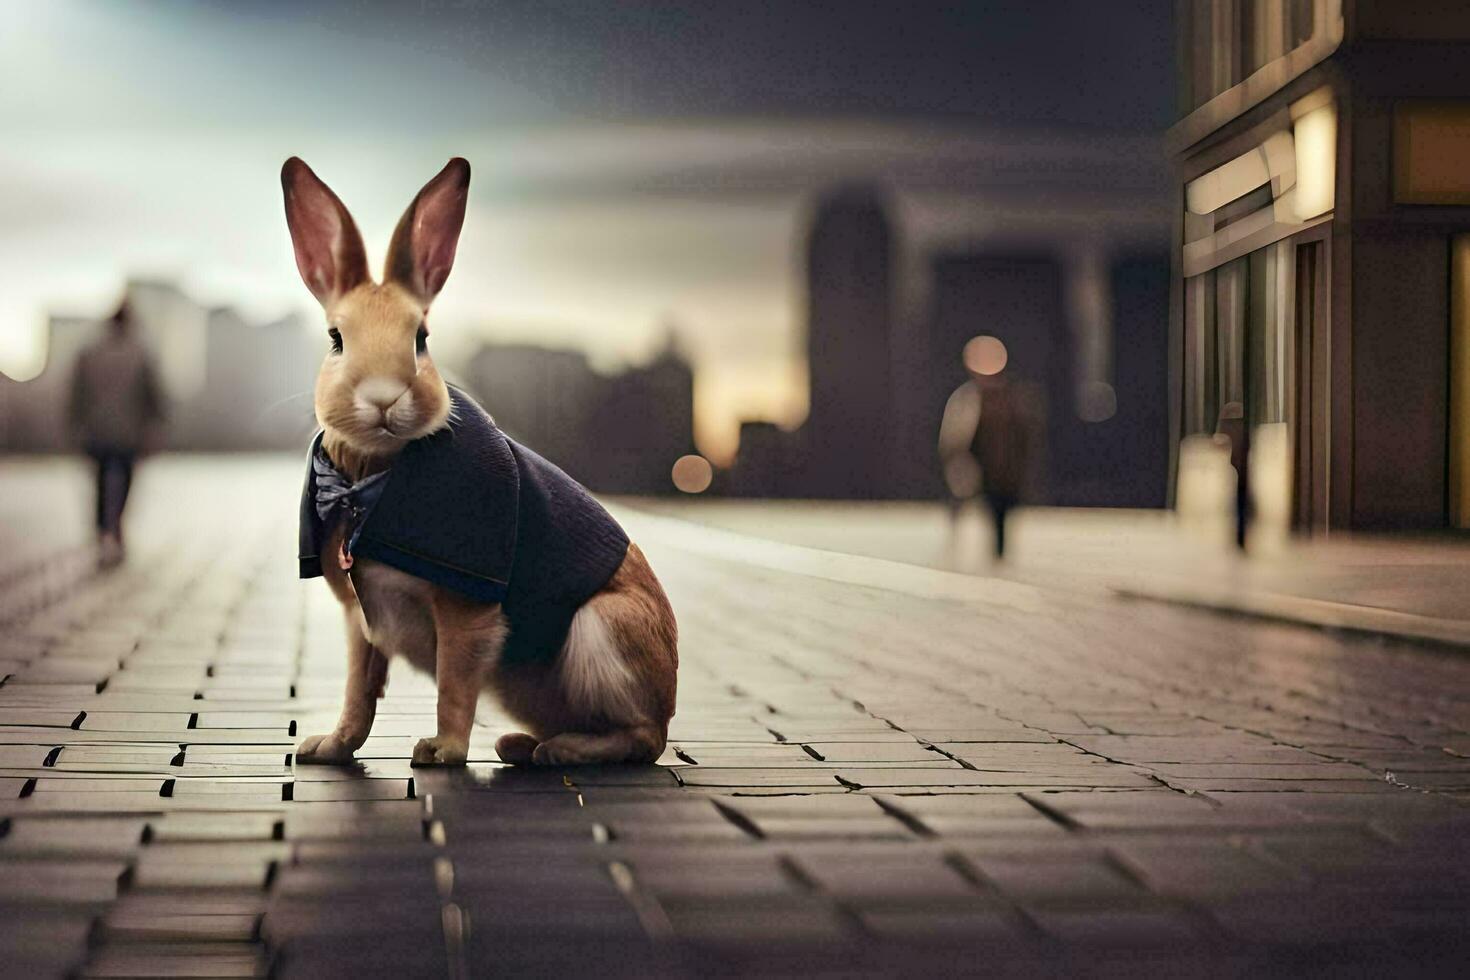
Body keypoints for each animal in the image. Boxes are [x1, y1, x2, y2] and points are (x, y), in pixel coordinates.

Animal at [280, 155, 676, 764]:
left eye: (421, 338)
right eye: (335, 339)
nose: (383, 397)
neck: (372, 478)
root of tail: (669, 700)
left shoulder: (466, 610)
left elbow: (455, 683)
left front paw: (440, 752)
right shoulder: (359, 622)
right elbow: (359, 690)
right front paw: (328, 747)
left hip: (603, 634)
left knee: (641, 739)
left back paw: (557, 753)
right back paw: (521, 746)